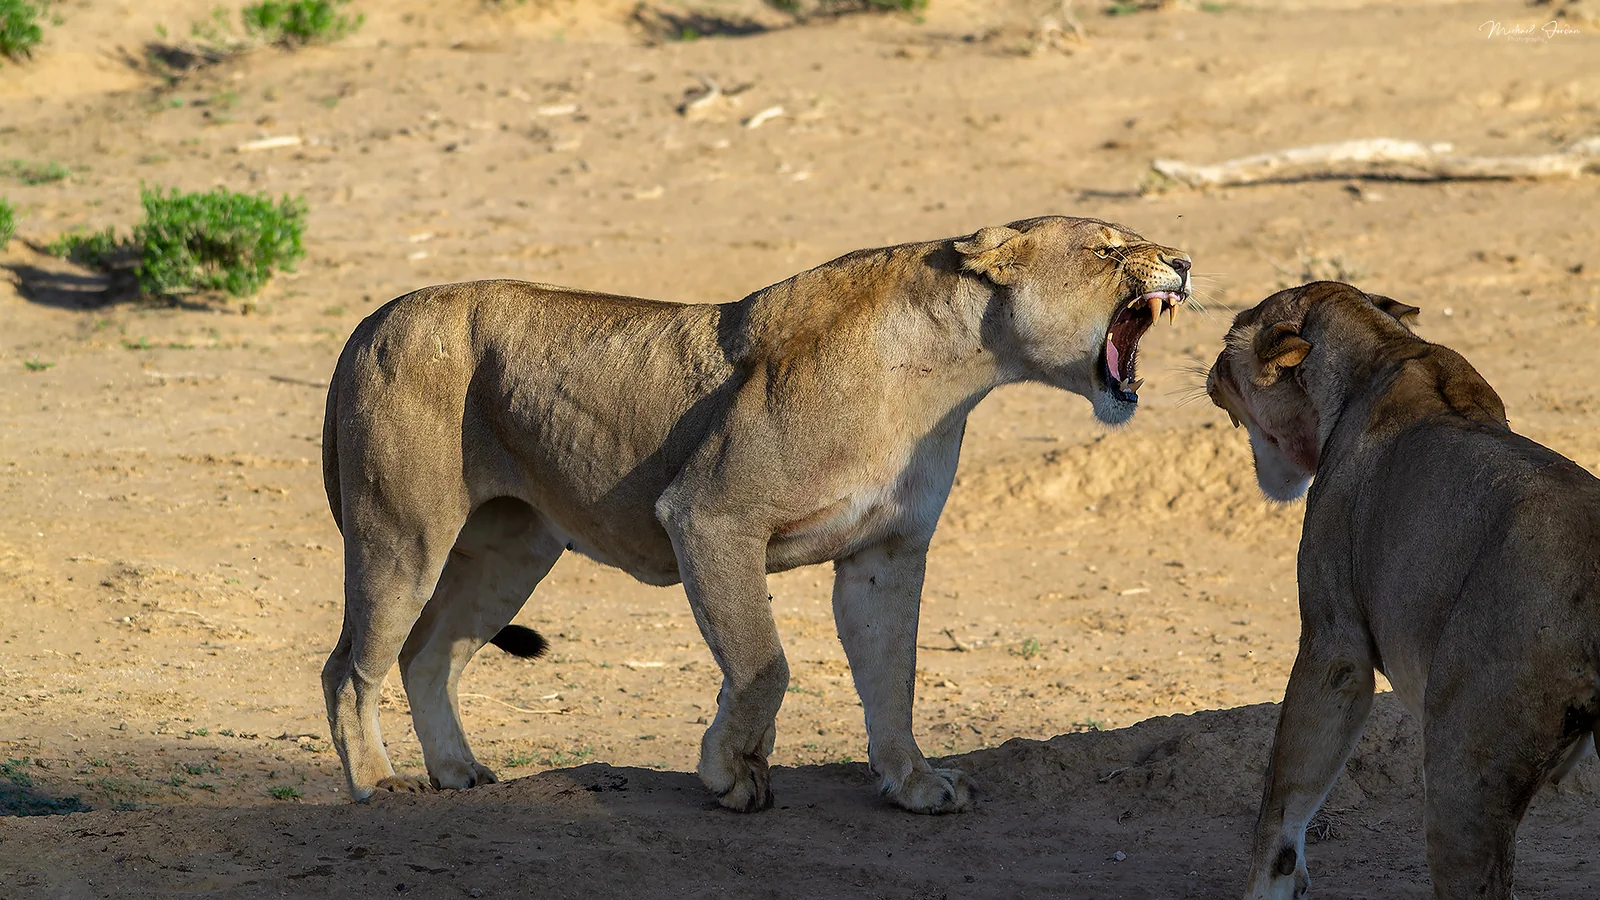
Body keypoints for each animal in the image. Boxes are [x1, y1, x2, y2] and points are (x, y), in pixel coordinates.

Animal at [321, 216, 1191, 814]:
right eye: (1108, 248)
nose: (1183, 261)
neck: (947, 376)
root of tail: (372, 319)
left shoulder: (886, 553)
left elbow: (893, 675)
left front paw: (913, 783)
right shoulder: (708, 517)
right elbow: (764, 663)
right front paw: (732, 771)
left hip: (512, 552)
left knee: (429, 656)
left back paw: (459, 773)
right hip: (401, 535)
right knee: (351, 666)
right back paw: (379, 785)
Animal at [1207, 281, 1600, 898]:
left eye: (1229, 340)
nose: (1210, 371)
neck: (1380, 349)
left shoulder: (1334, 645)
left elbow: (1283, 798)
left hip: (1462, 773)